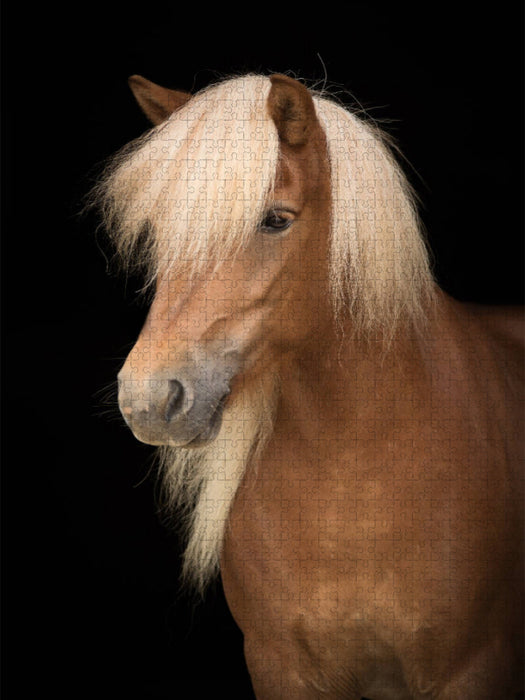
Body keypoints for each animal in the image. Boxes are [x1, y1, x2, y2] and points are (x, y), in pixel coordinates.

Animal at [94, 73, 524, 699]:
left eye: (276, 219)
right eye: (164, 229)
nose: (148, 399)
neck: (355, 488)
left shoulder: (473, 670)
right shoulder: (282, 669)